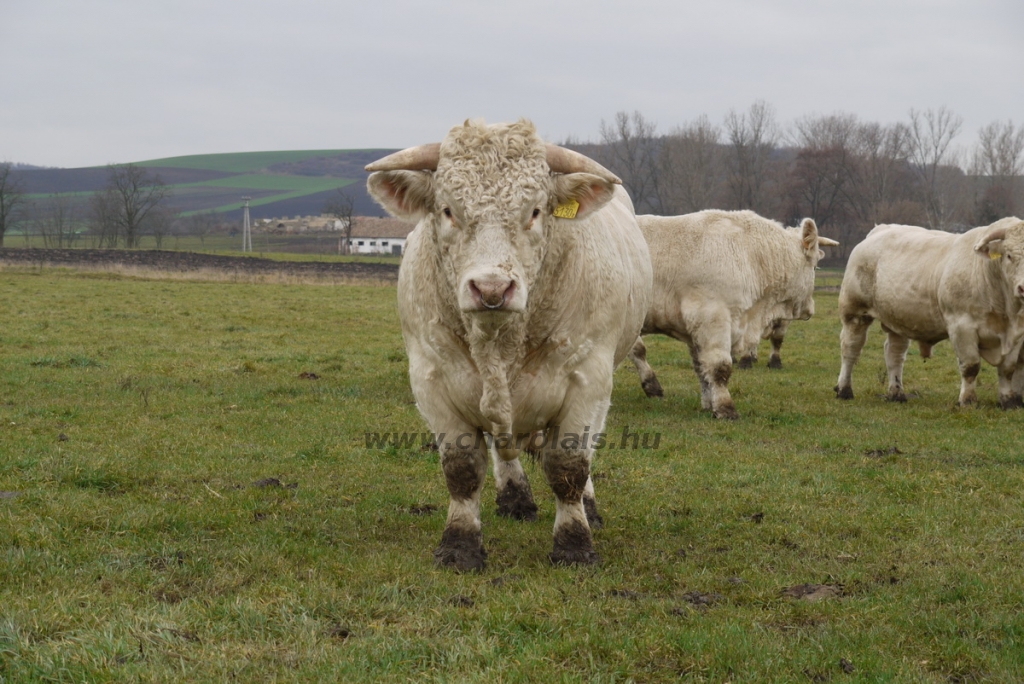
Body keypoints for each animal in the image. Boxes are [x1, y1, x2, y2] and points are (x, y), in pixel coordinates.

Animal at [368, 120, 651, 569]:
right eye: (448, 210)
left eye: (535, 211)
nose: (491, 288)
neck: (500, 344)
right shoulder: (431, 377)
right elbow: (462, 468)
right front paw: (460, 545)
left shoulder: (588, 378)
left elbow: (570, 466)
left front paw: (574, 544)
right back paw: (515, 498)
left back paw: (588, 508)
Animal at [626, 210, 835, 419]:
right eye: (815, 266)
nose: (810, 308)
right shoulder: (712, 318)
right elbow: (719, 367)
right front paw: (725, 408)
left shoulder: (697, 330)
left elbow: (701, 367)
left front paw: (708, 404)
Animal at [835, 218, 1024, 405]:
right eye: (1009, 255)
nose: (1023, 288)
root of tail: (881, 229)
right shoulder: (961, 327)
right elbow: (970, 366)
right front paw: (967, 401)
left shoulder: (1017, 333)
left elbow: (1008, 369)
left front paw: (1008, 401)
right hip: (854, 312)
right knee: (850, 349)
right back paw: (844, 390)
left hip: (898, 317)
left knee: (894, 354)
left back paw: (896, 393)